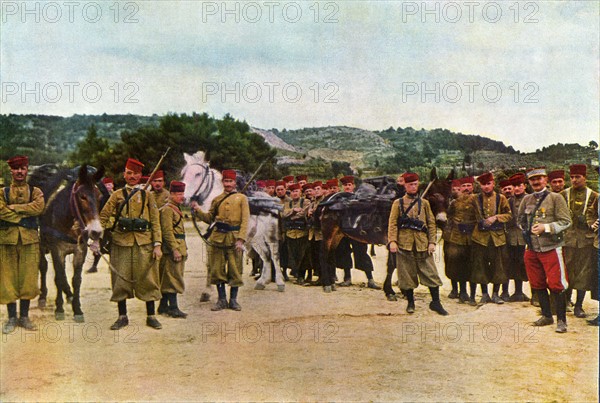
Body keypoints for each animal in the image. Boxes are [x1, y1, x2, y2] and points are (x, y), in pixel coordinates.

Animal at [31, 164, 108, 322]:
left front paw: (77, 309)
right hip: (40, 245)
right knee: (44, 267)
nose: (96, 231)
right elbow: (59, 277)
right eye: (82, 197)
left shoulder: (80, 251)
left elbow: (76, 280)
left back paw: (69, 295)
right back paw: (43, 297)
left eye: (99, 197)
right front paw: (59, 309)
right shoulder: (56, 250)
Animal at [179, 153, 284, 302]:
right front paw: (207, 291)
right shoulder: (209, 239)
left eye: (198, 174)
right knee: (266, 255)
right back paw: (263, 281)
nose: (183, 198)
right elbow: (210, 264)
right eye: (183, 173)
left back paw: (280, 282)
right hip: (255, 238)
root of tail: (270, 198)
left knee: (274, 255)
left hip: (271, 234)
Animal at [318, 167, 454, 296]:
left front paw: (403, 290)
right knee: (324, 254)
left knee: (331, 254)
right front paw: (390, 291)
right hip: (328, 233)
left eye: (449, 196)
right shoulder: (392, 242)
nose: (442, 221)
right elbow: (392, 265)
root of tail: (329, 200)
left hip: (337, 234)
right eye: (432, 196)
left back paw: (331, 282)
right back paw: (327, 284)